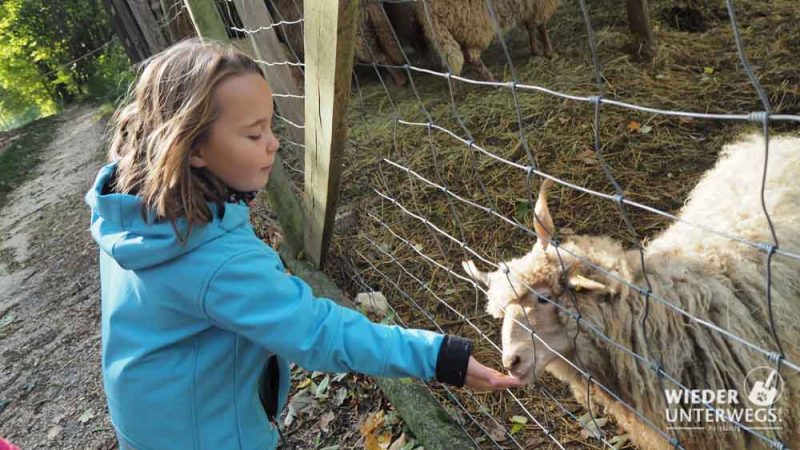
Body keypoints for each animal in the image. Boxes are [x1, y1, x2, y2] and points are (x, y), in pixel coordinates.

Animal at [416, 0, 560, 79]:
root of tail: (428, 10)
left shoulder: (530, 7)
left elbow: (530, 26)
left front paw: (536, 50)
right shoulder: (540, 4)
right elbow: (541, 26)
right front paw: (549, 53)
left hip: (454, 30)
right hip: (474, 24)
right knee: (472, 58)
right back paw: (494, 82)